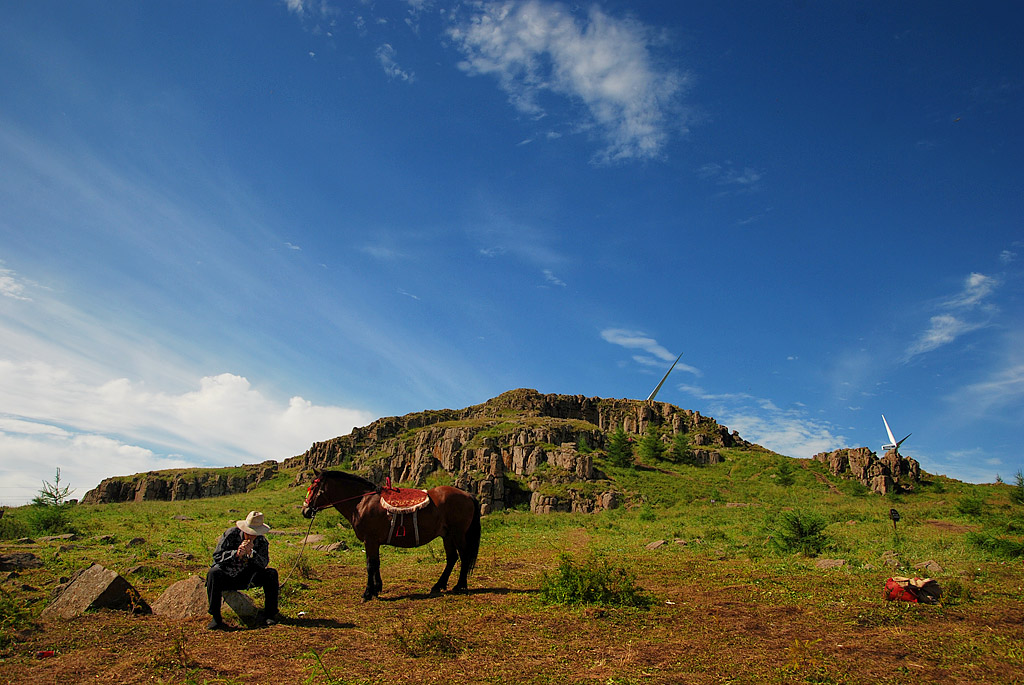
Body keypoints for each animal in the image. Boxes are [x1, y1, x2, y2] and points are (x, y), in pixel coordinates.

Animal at [301, 471, 481, 597]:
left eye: (314, 488)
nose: (305, 510)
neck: (362, 502)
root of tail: (467, 495)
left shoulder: (370, 540)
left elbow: (370, 564)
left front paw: (368, 592)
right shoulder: (374, 542)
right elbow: (376, 563)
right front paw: (377, 588)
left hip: (458, 534)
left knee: (464, 556)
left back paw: (460, 585)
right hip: (447, 535)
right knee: (452, 558)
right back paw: (439, 585)